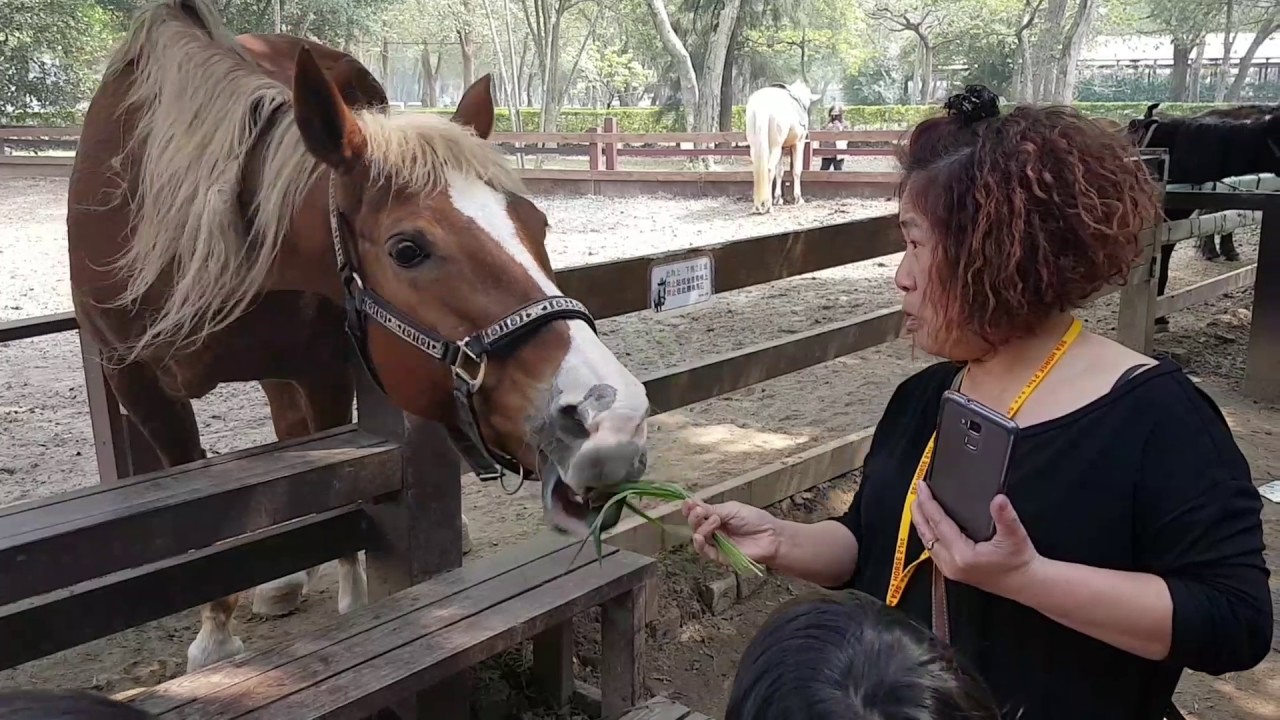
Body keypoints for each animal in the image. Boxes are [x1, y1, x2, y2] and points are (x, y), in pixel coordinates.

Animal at [70, 0, 650, 671]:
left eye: (538, 224)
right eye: (407, 249)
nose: (614, 420)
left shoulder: (322, 365)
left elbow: (338, 487)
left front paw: (353, 601)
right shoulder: (131, 378)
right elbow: (196, 508)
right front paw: (215, 633)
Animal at [742, 80, 819, 212]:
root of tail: (761, 106)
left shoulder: (782, 148)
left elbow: (780, 171)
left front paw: (778, 198)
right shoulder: (798, 143)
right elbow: (796, 170)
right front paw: (798, 198)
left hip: (756, 148)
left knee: (758, 171)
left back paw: (758, 205)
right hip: (775, 147)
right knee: (769, 169)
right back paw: (767, 205)